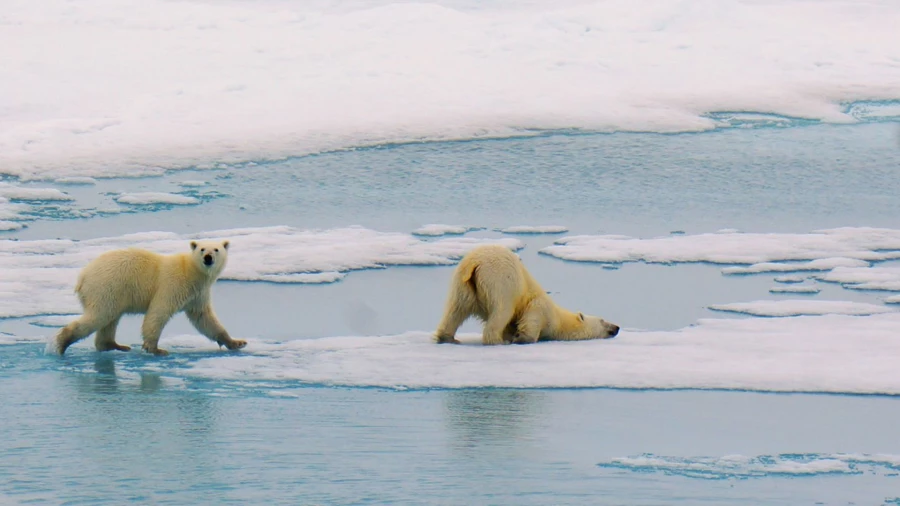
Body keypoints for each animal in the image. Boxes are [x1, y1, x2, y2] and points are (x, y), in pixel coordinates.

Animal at [54, 240, 248, 356]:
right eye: (202, 249)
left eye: (216, 249)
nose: (208, 257)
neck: (191, 272)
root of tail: (83, 276)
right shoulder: (173, 284)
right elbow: (158, 312)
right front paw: (156, 349)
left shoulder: (198, 293)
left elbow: (204, 319)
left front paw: (236, 342)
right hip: (107, 287)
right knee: (100, 316)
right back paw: (61, 343)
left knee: (110, 320)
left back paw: (115, 345)